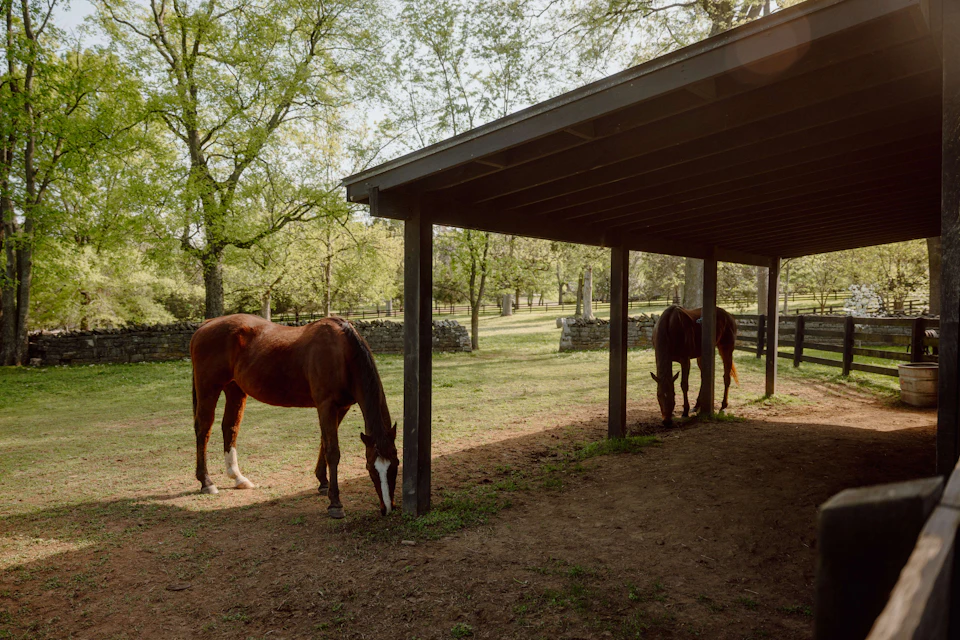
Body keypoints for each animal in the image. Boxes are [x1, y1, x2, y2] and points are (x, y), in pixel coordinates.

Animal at [189, 314, 398, 519]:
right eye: (370, 468)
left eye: (396, 463)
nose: (388, 508)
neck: (342, 352)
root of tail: (207, 324)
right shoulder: (326, 405)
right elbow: (332, 451)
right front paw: (335, 503)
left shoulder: (342, 407)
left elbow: (324, 443)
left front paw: (323, 482)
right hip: (209, 389)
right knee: (204, 430)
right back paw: (206, 482)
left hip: (235, 389)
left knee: (230, 427)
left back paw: (238, 478)